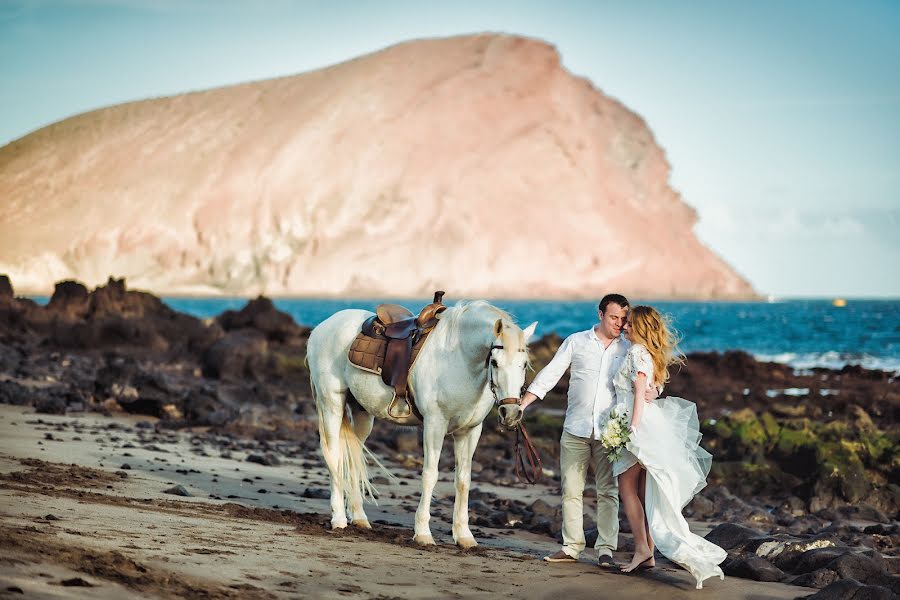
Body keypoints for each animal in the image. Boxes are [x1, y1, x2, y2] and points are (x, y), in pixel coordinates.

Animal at [306, 302, 536, 548]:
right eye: (494, 362)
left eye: (524, 365)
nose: (511, 413)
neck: (458, 358)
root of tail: (321, 327)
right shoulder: (435, 425)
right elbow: (430, 475)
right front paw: (423, 533)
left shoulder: (470, 432)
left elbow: (463, 480)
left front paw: (464, 536)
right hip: (331, 403)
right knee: (334, 456)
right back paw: (339, 518)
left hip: (362, 413)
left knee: (355, 457)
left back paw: (359, 518)